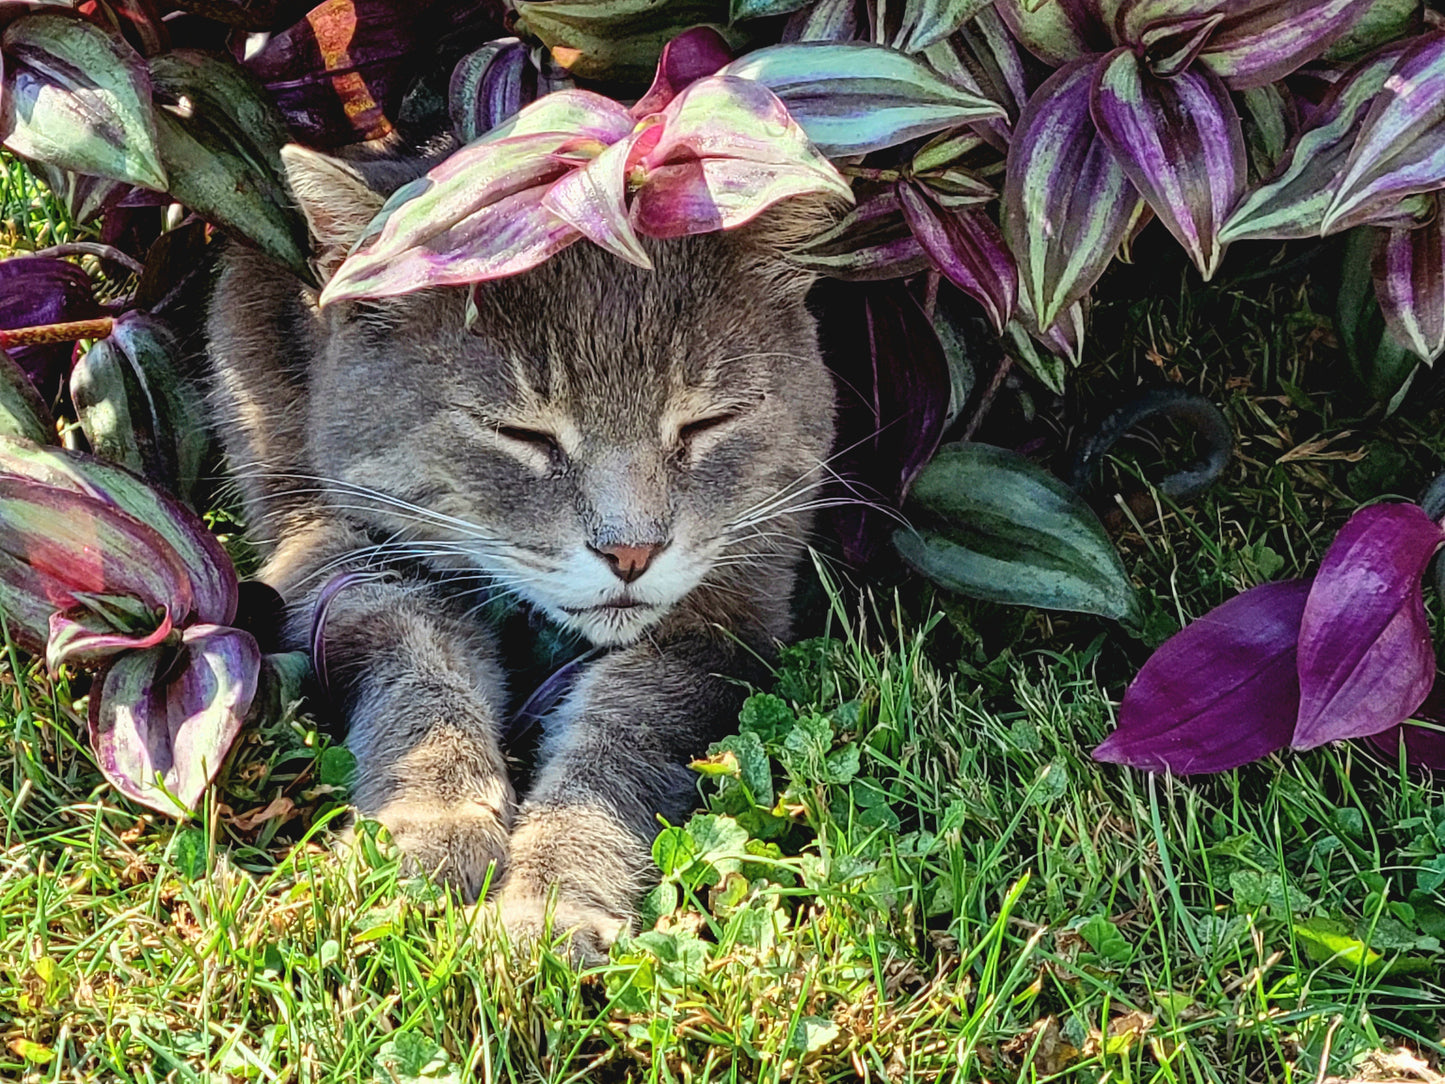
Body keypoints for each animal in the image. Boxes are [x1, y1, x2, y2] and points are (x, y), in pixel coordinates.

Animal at [203, 142, 838, 959]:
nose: (632, 551)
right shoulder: (327, 552)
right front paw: (428, 824)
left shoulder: (732, 611)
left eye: (705, 424)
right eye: (521, 434)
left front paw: (553, 895)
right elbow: (425, 678)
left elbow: (620, 736)